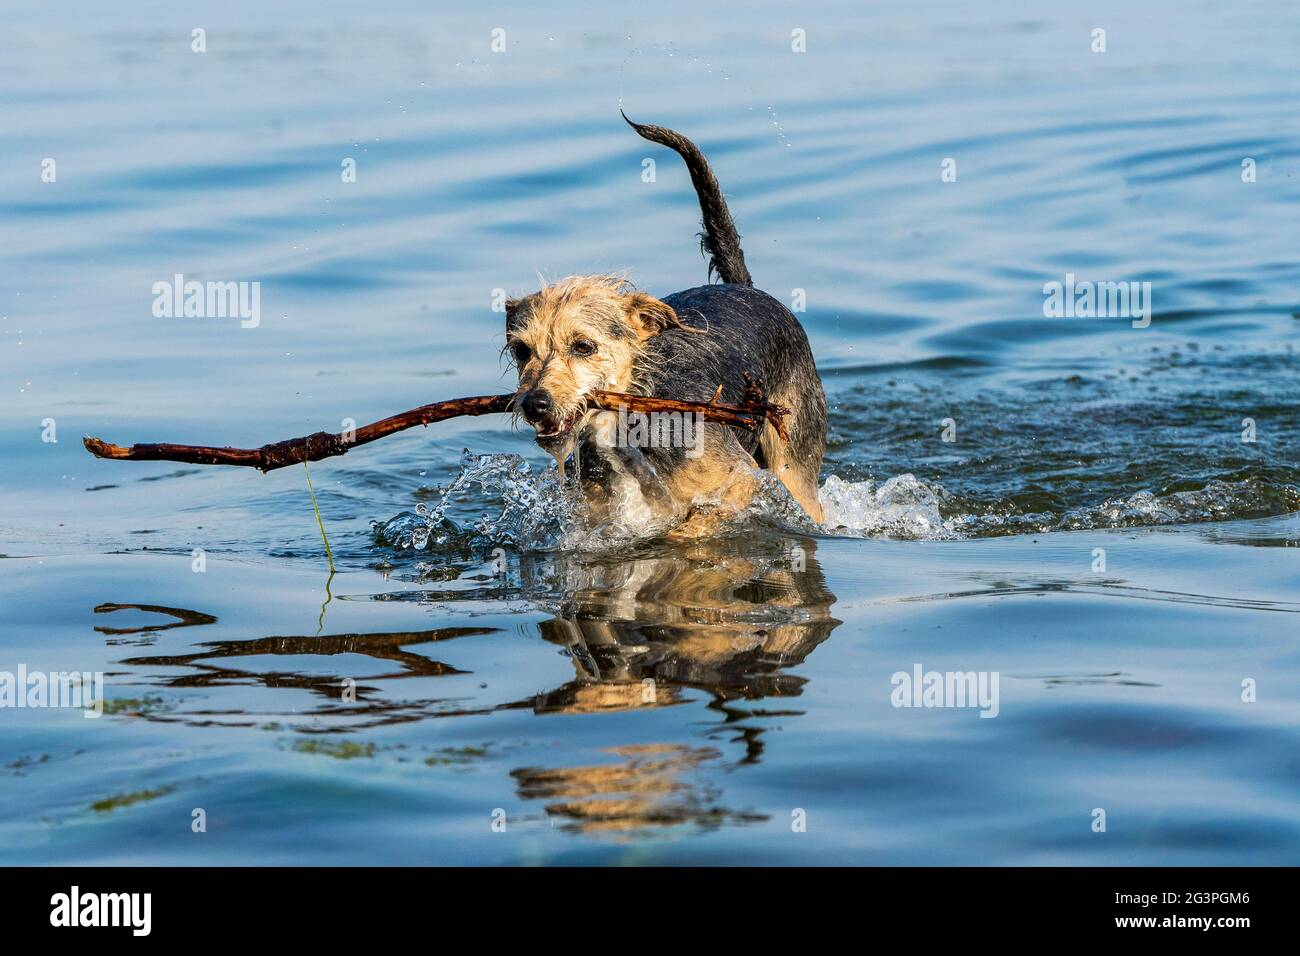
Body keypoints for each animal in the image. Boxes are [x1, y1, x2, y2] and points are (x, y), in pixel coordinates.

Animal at [501, 117, 826, 530]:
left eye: (583, 346)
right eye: (521, 350)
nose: (534, 404)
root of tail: (745, 287)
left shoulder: (739, 478)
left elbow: (693, 524)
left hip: (794, 467)